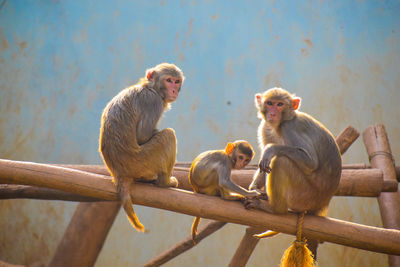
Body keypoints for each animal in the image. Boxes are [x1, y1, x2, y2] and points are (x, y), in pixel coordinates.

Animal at [98, 62, 184, 232]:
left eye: (176, 81)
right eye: (169, 80)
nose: (173, 90)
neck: (150, 87)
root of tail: (119, 173)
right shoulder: (153, 102)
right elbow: (142, 136)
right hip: (144, 161)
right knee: (168, 135)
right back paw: (164, 183)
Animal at [247, 87, 340, 258]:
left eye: (280, 104)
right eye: (269, 103)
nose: (272, 113)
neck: (279, 124)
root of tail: (322, 203)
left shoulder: (289, 128)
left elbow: (310, 161)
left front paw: (271, 149)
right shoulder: (265, 127)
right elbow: (263, 165)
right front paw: (253, 188)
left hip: (304, 195)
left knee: (281, 161)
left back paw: (275, 209)